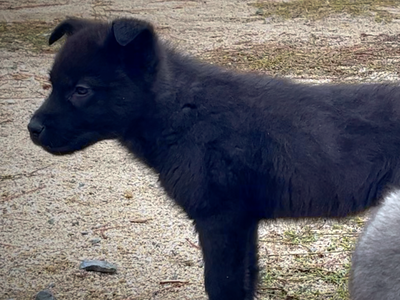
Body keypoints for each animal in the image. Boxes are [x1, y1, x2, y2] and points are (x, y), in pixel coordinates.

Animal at [28, 18, 400, 300]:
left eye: (81, 90)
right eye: (51, 83)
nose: (32, 128)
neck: (182, 112)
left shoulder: (220, 219)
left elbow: (223, 286)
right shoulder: (242, 222)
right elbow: (245, 281)